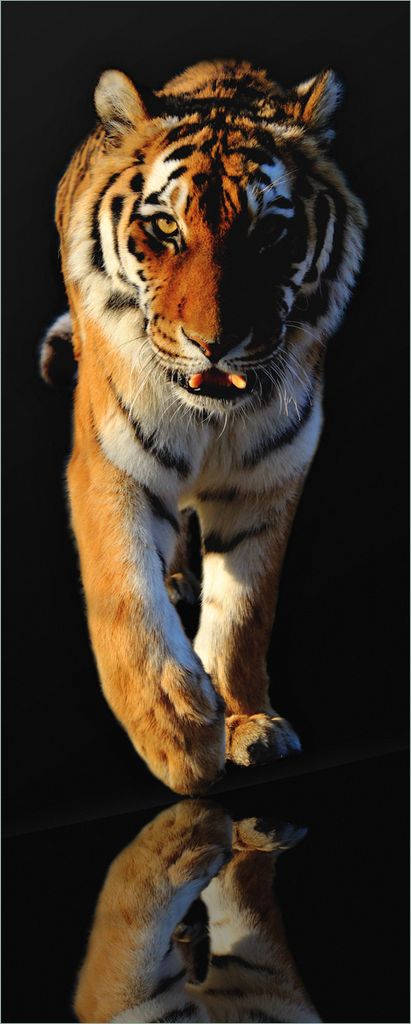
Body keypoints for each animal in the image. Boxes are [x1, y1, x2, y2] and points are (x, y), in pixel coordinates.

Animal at [42, 59, 366, 795]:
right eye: (165, 228)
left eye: (268, 232)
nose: (213, 344)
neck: (213, 418)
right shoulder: (111, 463)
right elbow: (123, 596)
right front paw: (178, 735)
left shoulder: (269, 476)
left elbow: (244, 611)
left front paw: (247, 723)